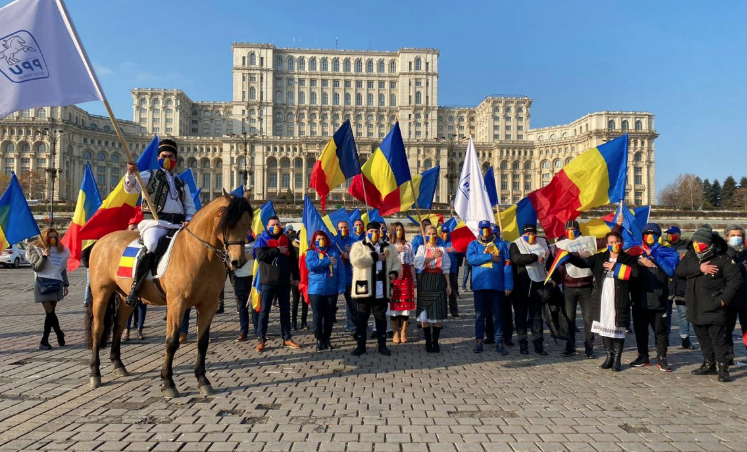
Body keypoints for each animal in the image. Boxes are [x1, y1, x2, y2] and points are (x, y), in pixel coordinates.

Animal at [86, 191, 253, 400]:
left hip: (125, 298)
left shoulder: (208, 304)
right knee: (98, 328)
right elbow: (172, 341)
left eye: (248, 223)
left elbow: (202, 342)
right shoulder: (177, 303)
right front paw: (168, 383)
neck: (199, 253)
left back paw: (118, 365)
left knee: (118, 325)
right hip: (101, 291)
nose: (237, 261)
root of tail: (102, 240)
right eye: (228, 223)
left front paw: (203, 381)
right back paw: (95, 373)